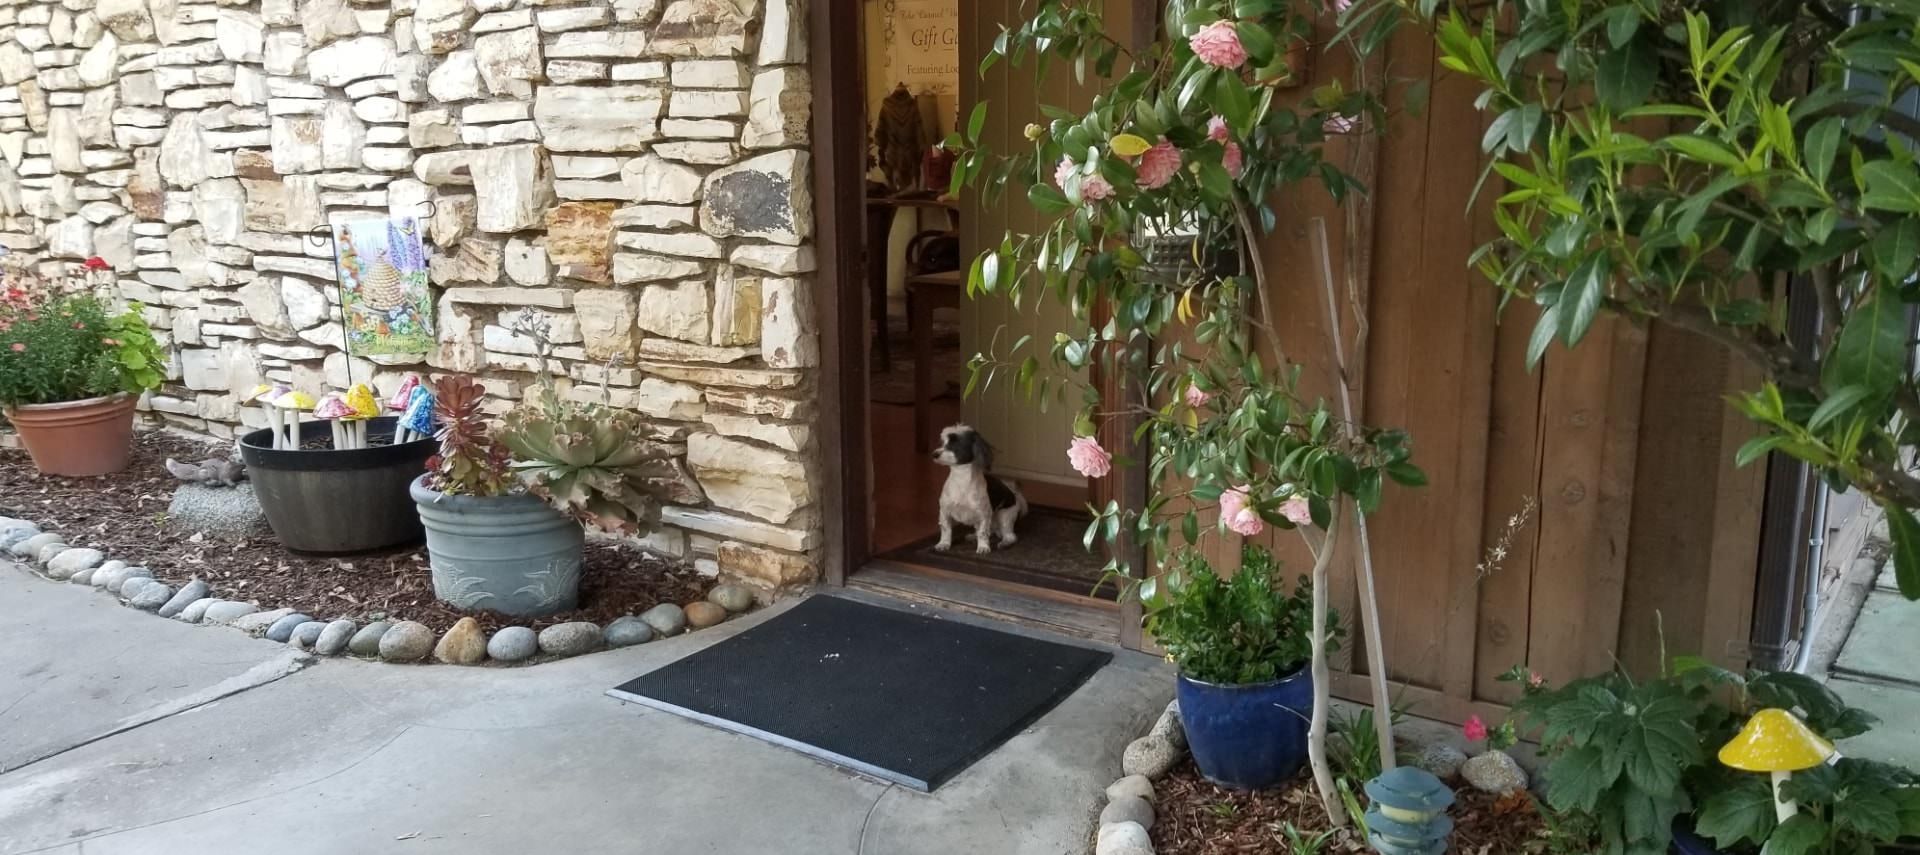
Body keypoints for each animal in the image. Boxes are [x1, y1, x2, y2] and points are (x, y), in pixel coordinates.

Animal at [933, 424, 1036, 553]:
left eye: (955, 444)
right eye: (942, 442)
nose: (934, 454)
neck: (961, 479)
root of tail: (1015, 496)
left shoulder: (983, 514)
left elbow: (983, 533)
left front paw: (983, 547)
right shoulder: (944, 511)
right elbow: (946, 529)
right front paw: (943, 544)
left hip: (1004, 517)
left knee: (1010, 536)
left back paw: (1005, 543)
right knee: (988, 532)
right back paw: (973, 536)